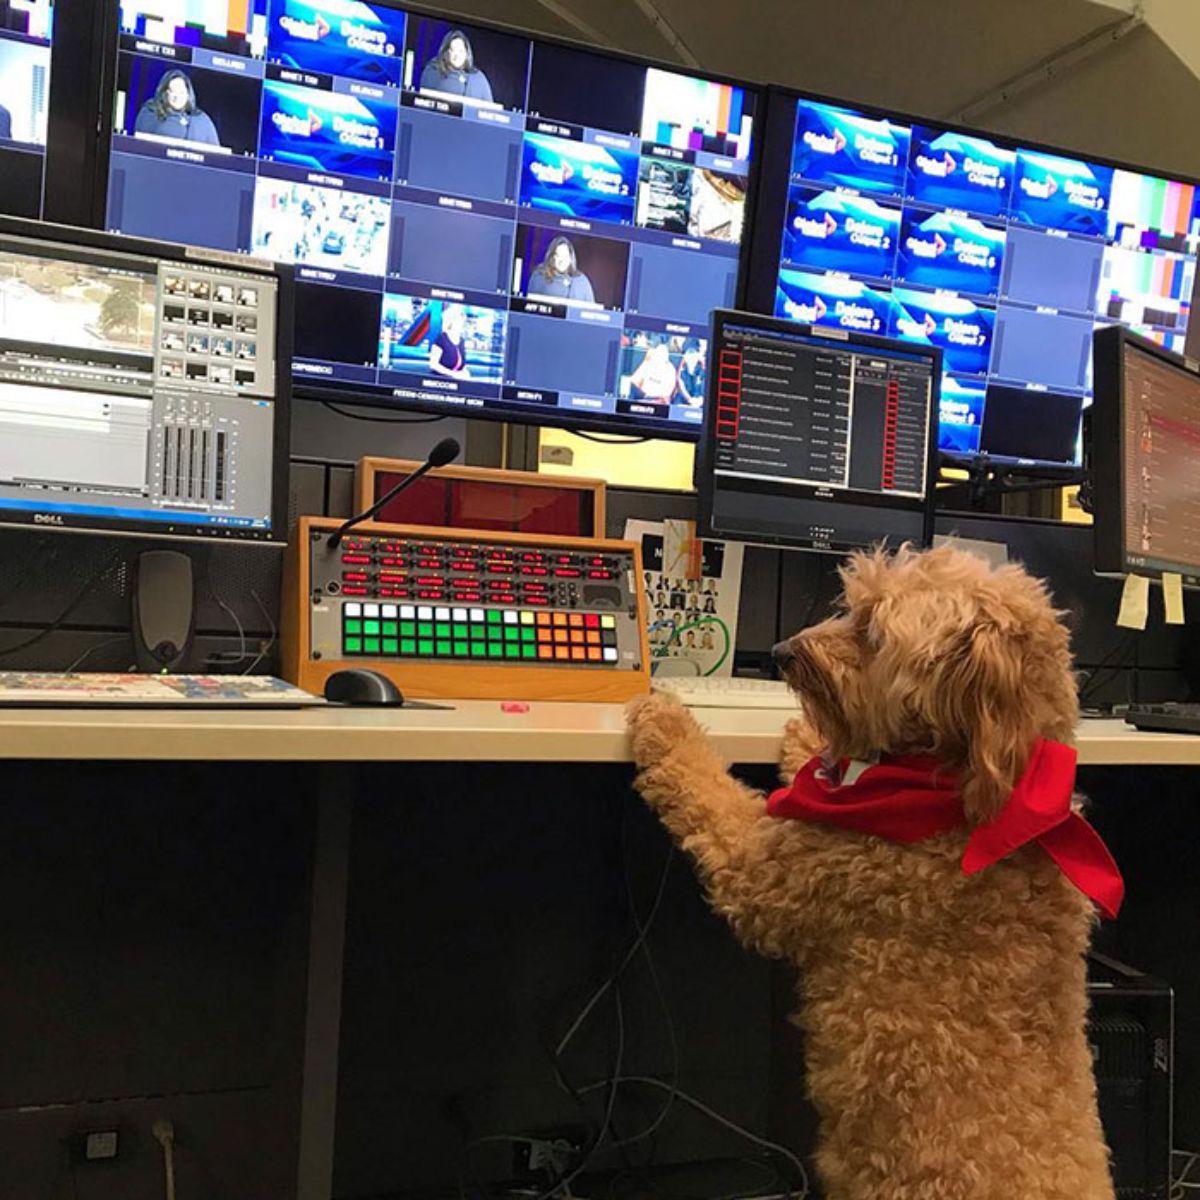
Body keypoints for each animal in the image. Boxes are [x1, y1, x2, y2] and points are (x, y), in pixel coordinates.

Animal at [628, 549, 1123, 1200]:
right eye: (850, 605)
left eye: (871, 631)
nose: (783, 651)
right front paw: (808, 738)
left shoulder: (770, 872)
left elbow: (706, 791)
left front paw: (664, 718)